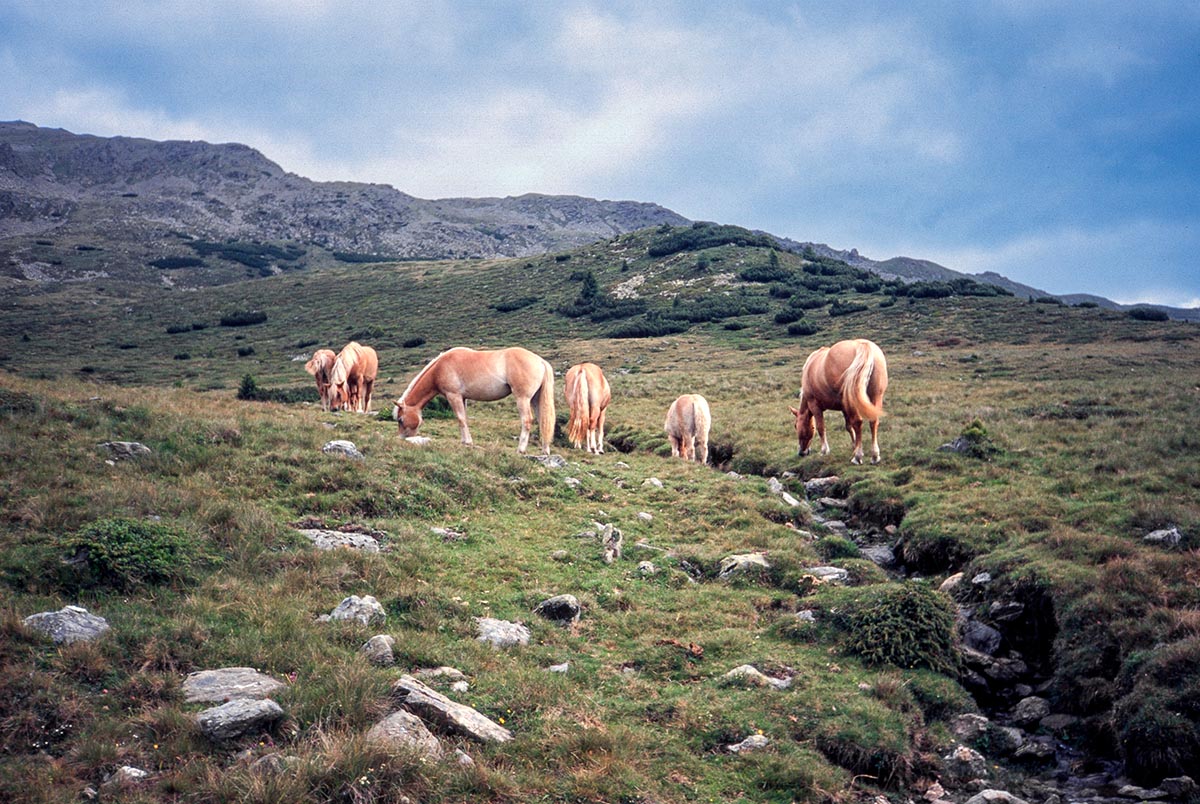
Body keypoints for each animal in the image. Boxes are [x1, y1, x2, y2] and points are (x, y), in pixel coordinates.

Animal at [392, 346, 556, 454]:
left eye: (400, 419)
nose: (401, 438)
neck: (440, 367)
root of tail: (540, 361)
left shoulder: (454, 396)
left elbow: (460, 419)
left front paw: (467, 442)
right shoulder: (462, 398)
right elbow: (464, 419)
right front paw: (466, 442)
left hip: (523, 399)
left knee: (527, 420)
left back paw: (520, 450)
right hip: (535, 400)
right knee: (543, 421)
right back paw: (545, 451)